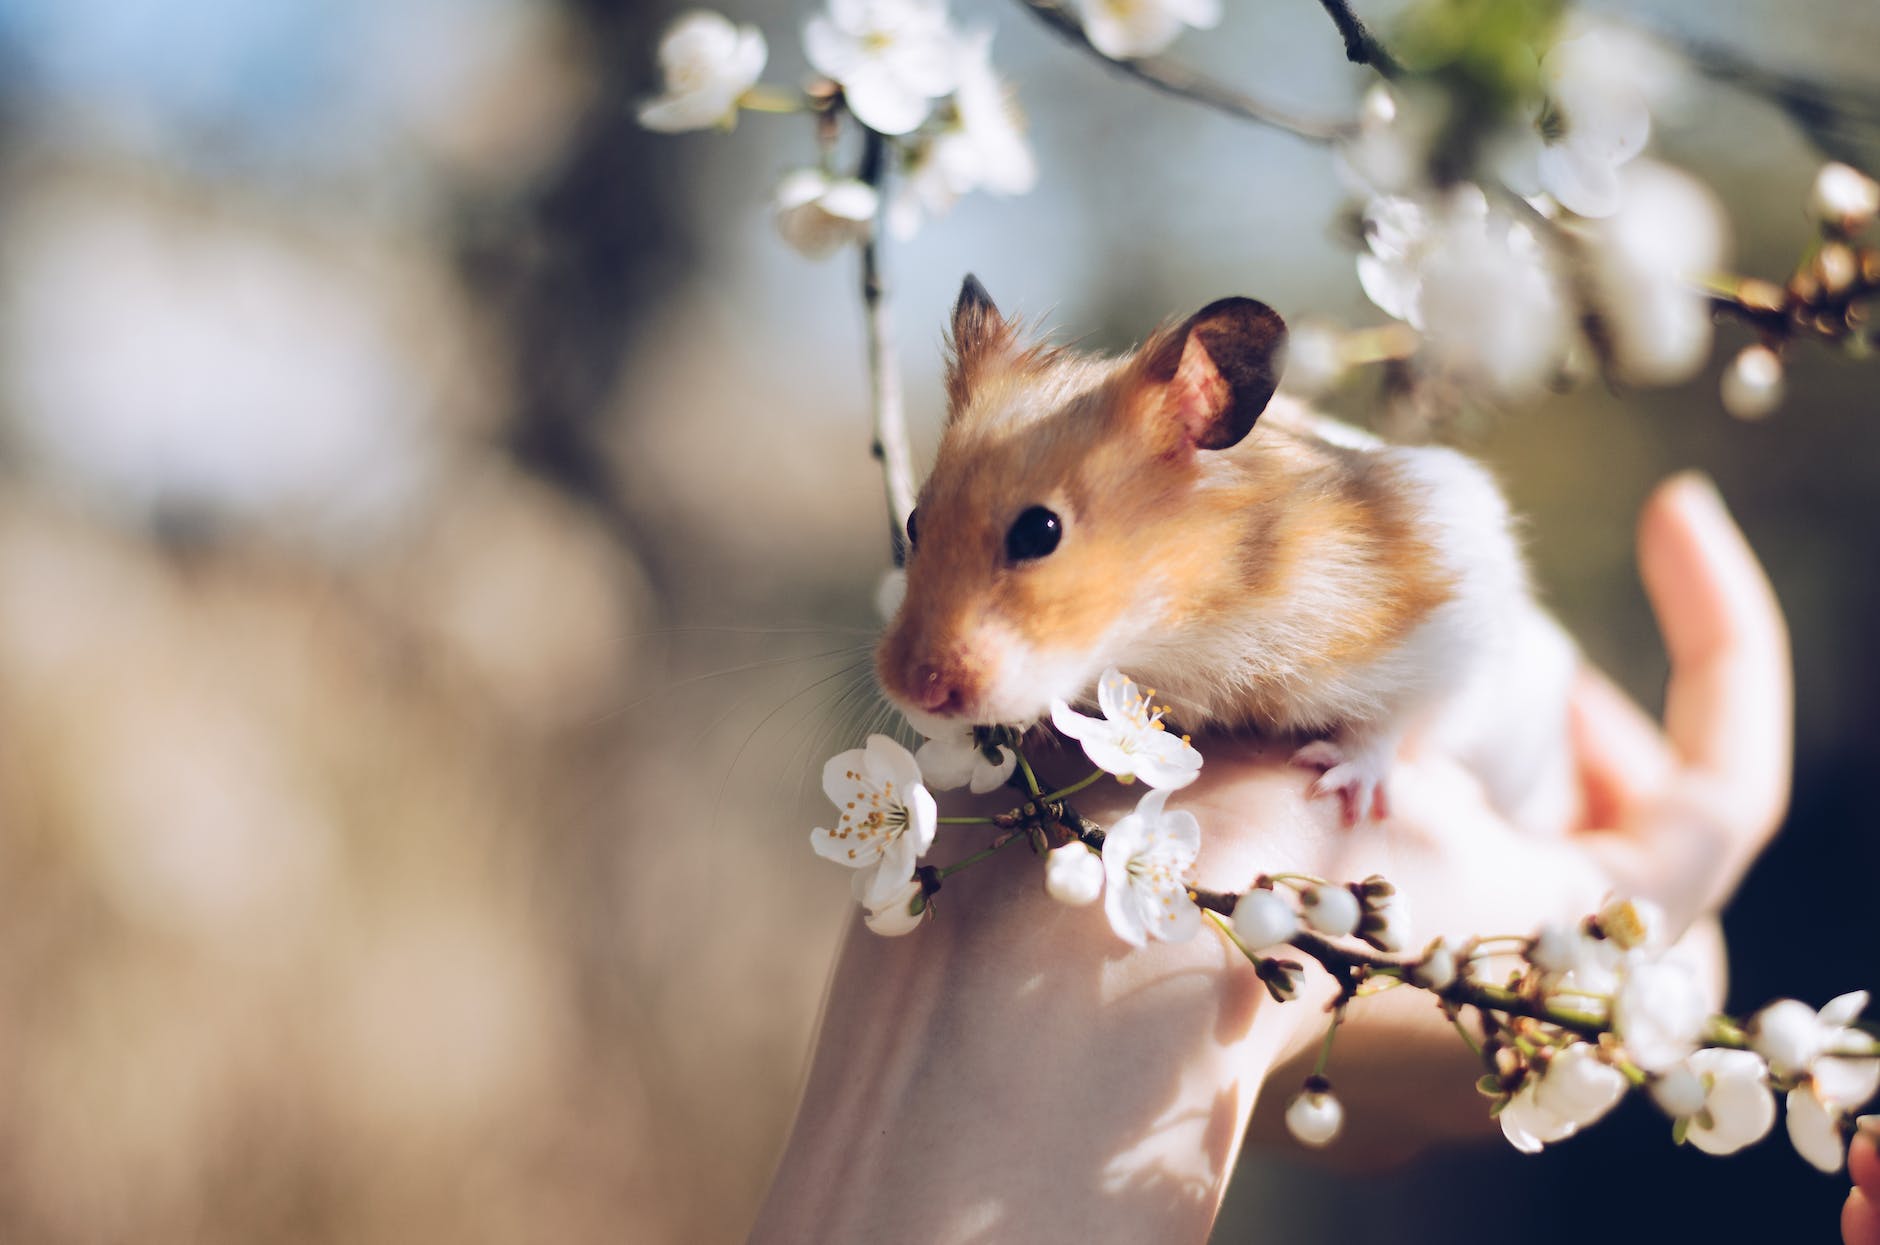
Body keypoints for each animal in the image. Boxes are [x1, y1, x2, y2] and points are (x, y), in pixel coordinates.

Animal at [872, 278, 1579, 835]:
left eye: (1039, 532)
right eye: (912, 522)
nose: (914, 690)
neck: (1190, 620)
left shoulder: (1453, 613)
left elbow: (1396, 719)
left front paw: (1338, 786)